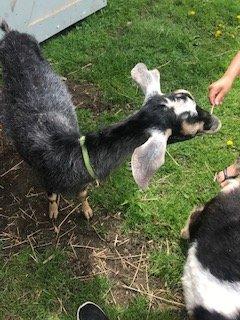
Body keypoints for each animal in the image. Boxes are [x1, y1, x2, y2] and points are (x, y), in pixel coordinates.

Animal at [0, 21, 221, 218]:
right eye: (189, 126)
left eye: (189, 96)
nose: (216, 121)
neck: (70, 150)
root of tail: (12, 34)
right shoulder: (45, 177)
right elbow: (52, 196)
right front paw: (53, 213)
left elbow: (83, 193)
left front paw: (87, 211)